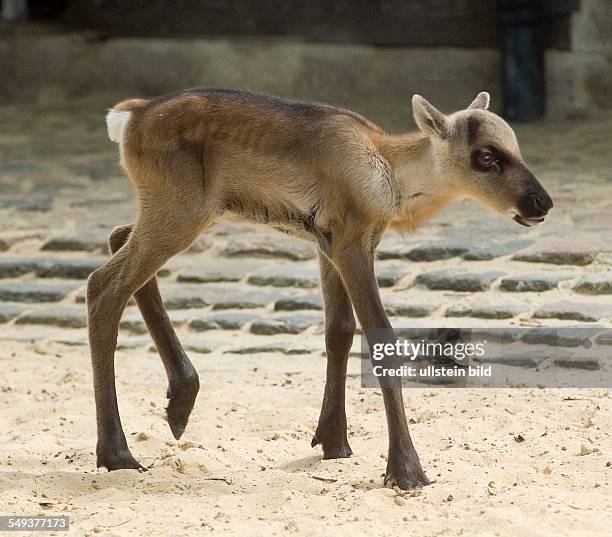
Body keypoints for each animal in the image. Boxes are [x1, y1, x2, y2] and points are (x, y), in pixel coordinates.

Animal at [91, 89, 556, 490]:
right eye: (486, 156)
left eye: (516, 145)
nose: (542, 203)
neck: (388, 172)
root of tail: (132, 115)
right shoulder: (351, 246)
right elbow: (380, 338)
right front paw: (406, 470)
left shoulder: (328, 245)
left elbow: (339, 332)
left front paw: (334, 441)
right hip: (181, 214)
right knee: (103, 286)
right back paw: (118, 454)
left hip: (179, 215)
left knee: (117, 237)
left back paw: (180, 403)